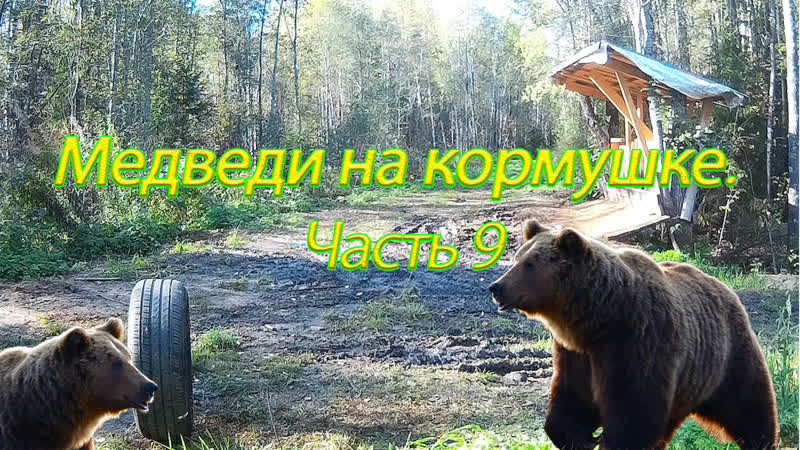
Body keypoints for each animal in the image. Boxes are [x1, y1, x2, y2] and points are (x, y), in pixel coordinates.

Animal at [488, 219, 778, 450]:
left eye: (529, 264)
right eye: (516, 259)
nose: (496, 287)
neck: (598, 318)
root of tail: (722, 284)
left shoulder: (638, 339)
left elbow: (633, 412)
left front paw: (606, 440)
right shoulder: (576, 353)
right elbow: (571, 400)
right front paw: (580, 437)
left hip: (727, 355)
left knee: (749, 406)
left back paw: (761, 440)